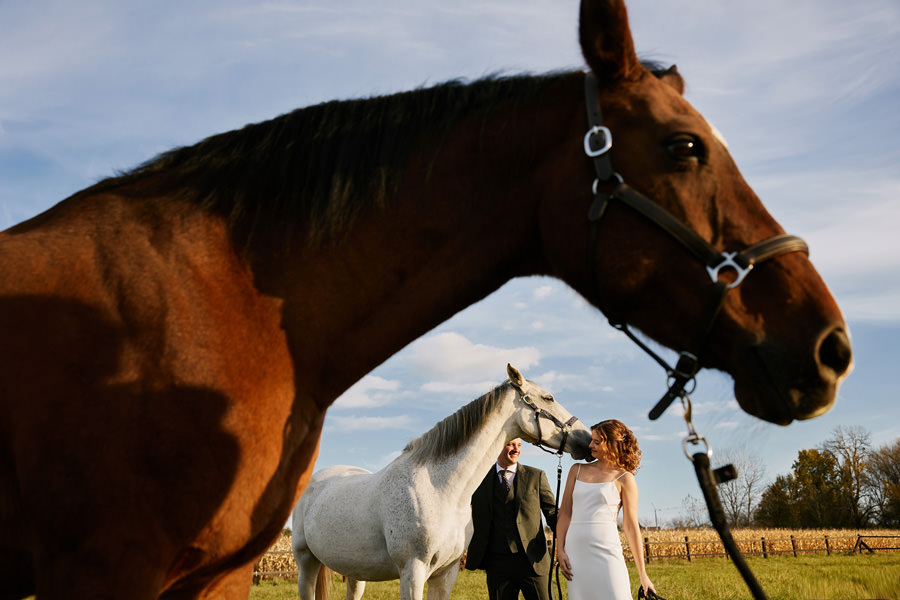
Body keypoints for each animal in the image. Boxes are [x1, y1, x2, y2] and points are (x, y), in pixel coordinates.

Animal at [292, 364, 596, 596]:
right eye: (548, 397)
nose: (587, 439)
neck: (441, 490)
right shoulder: (412, 571)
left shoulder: (445, 574)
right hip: (305, 560)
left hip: (355, 570)